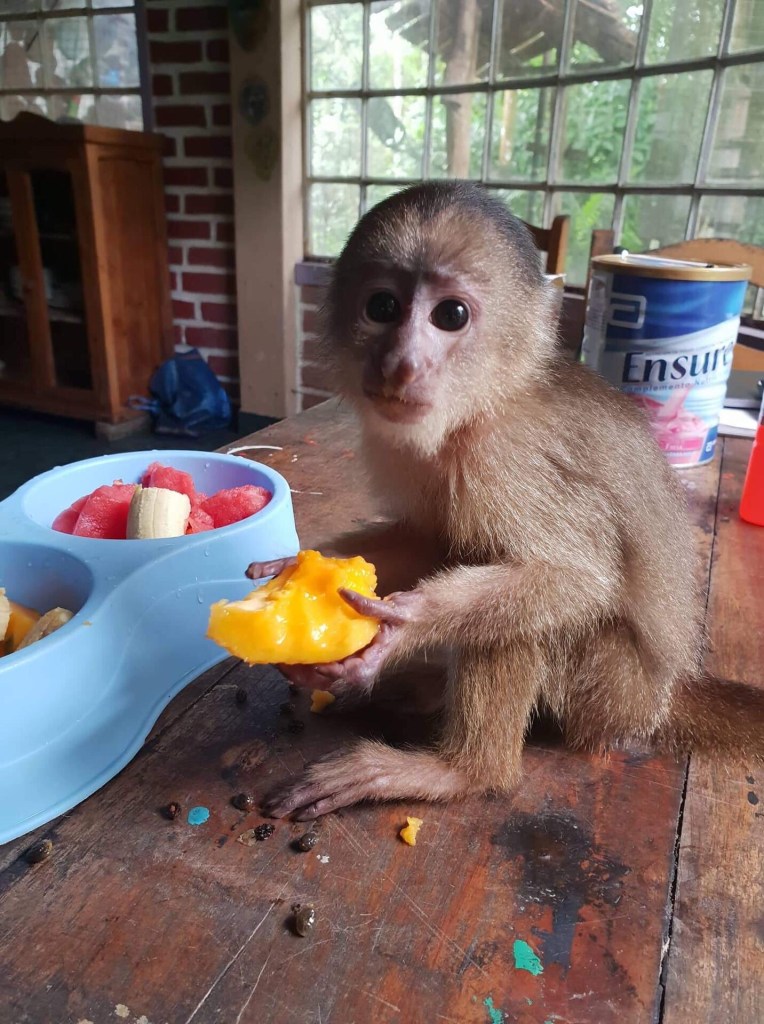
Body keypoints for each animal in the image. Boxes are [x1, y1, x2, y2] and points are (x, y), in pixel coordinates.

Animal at [248, 181, 764, 821]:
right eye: (383, 307)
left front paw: (407, 623)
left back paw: (462, 772)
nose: (401, 363)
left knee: (528, 619)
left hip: (608, 690)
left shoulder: (504, 459)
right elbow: (428, 539)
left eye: (451, 316)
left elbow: (577, 579)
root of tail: (662, 699)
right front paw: (296, 566)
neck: (476, 409)